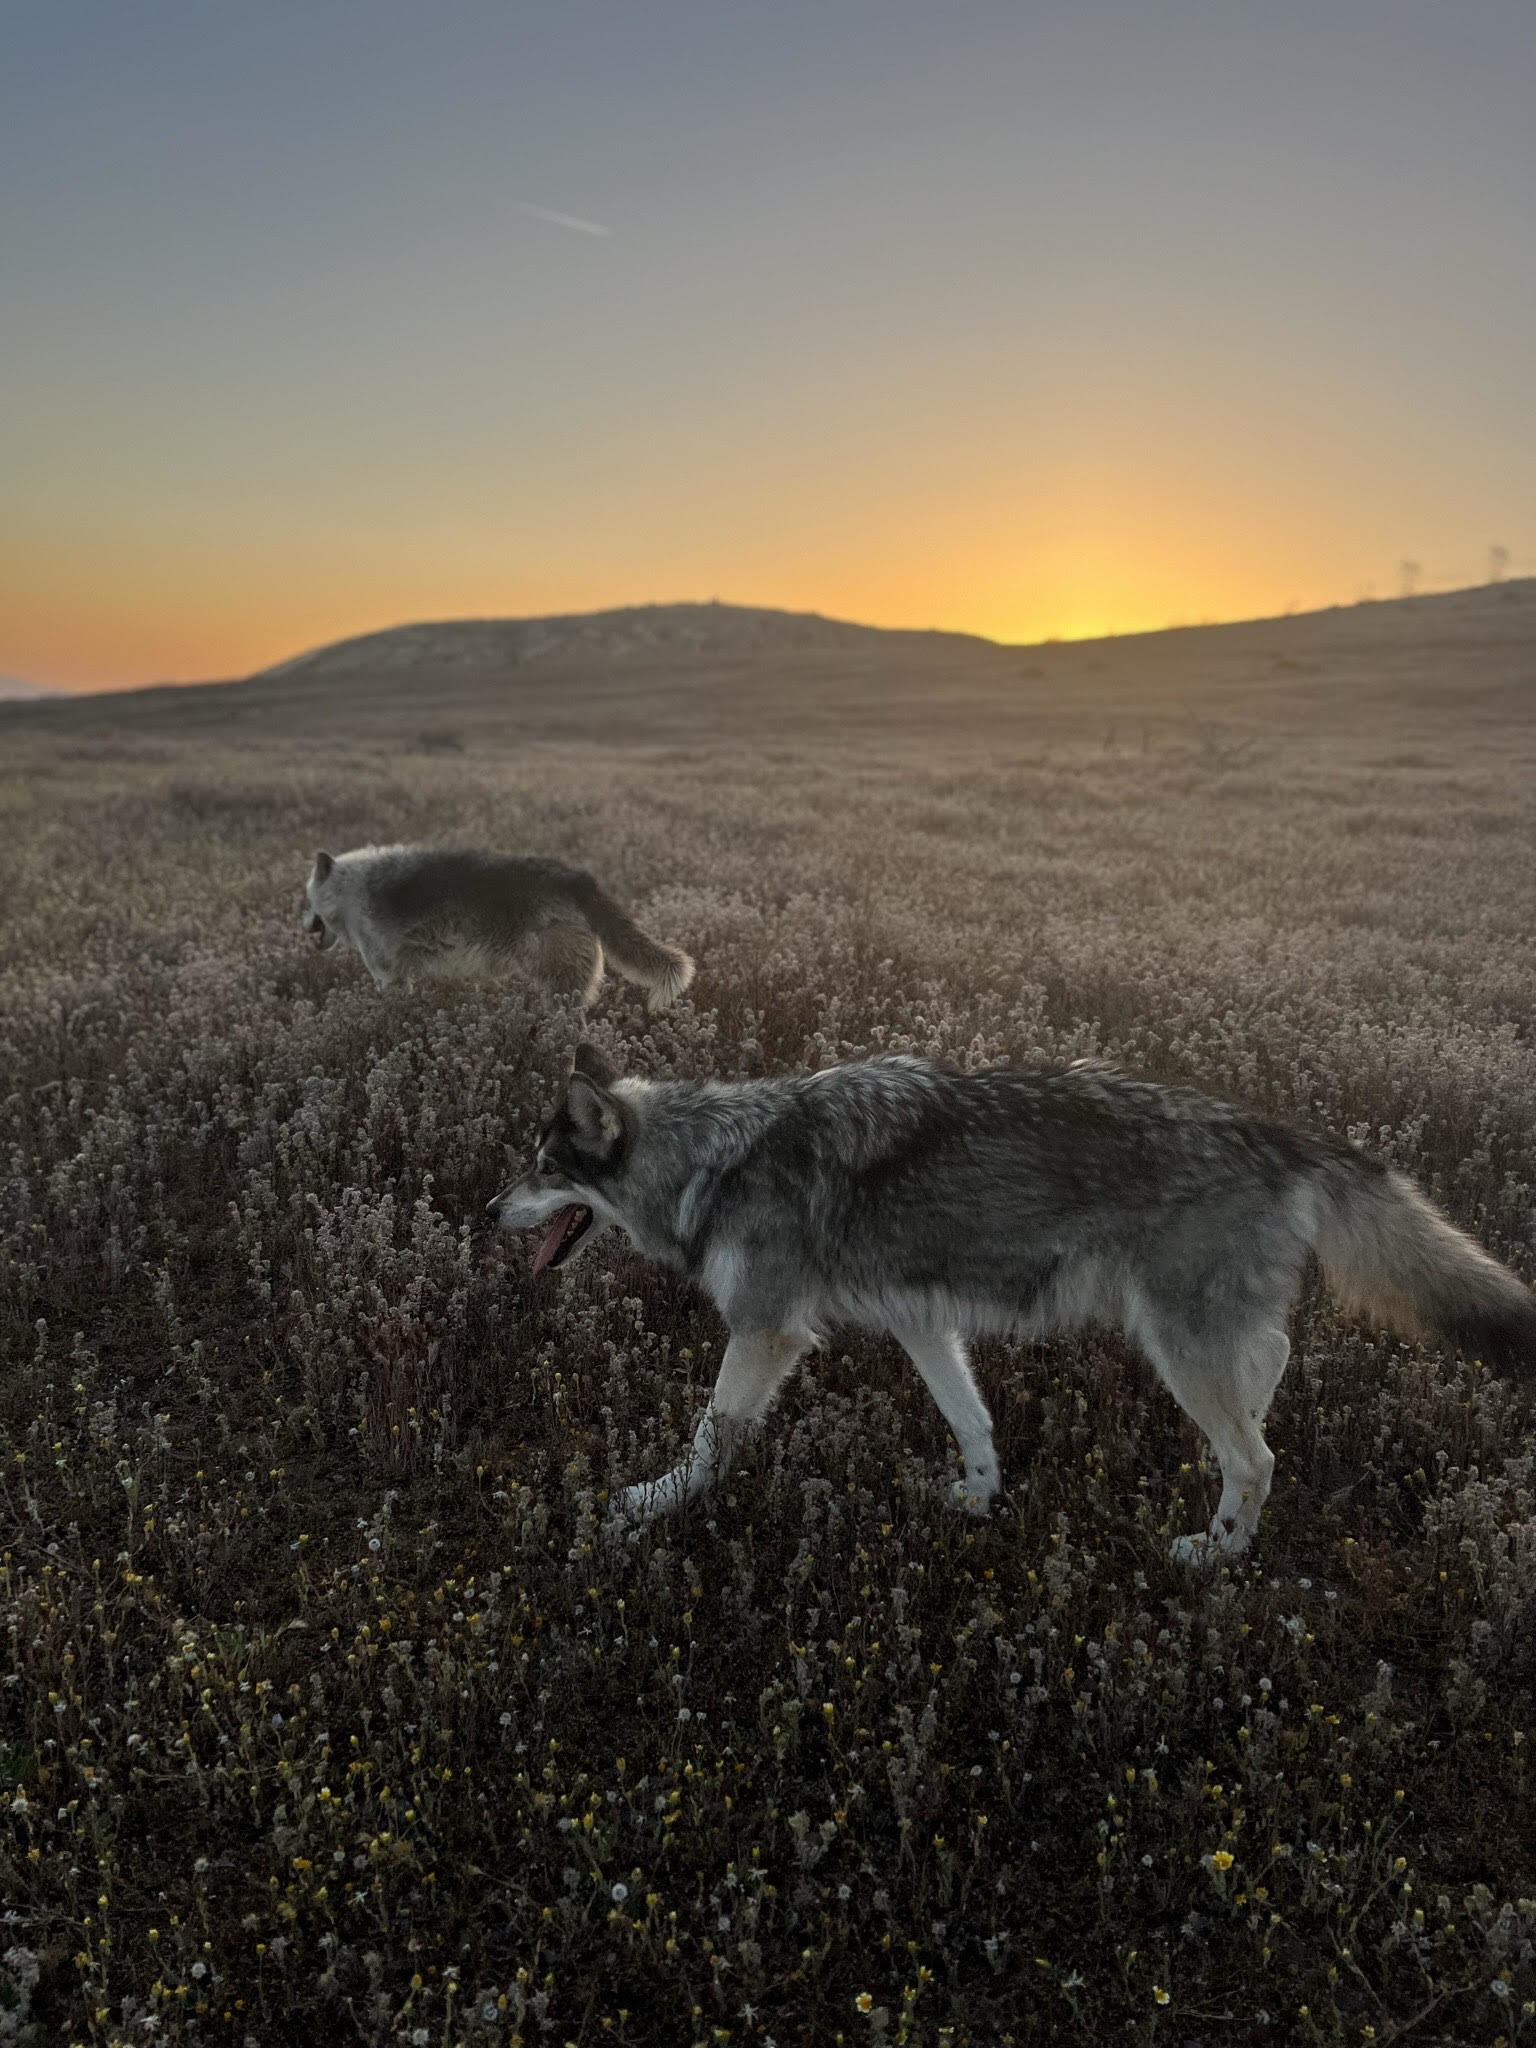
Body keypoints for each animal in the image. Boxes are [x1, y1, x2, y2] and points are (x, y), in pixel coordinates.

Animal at [303, 843, 696, 1011]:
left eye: (305, 899)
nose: (303, 926)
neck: (348, 891)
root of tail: (577, 879)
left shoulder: (389, 978)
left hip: (558, 990)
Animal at [493, 1048, 1536, 1556]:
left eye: (542, 1168)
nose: (487, 1208)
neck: (717, 1156)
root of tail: (1281, 1134)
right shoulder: (921, 1321)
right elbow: (974, 1420)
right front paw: (979, 1498)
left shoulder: (766, 1331)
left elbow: (708, 1443)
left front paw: (647, 1507)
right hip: (1191, 1334)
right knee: (1270, 1366)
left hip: (1173, 1341)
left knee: (1259, 1457)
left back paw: (1219, 1554)